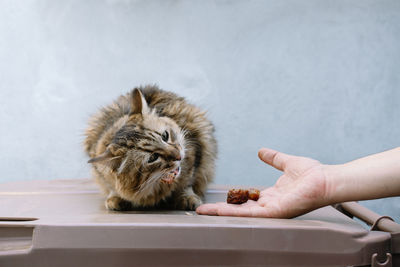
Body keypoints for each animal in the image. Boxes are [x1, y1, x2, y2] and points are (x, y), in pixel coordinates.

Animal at [83, 86, 217, 211]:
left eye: (165, 136)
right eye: (153, 157)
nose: (179, 156)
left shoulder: (195, 154)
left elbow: (187, 184)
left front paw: (188, 197)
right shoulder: (100, 172)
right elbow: (112, 187)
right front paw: (115, 198)